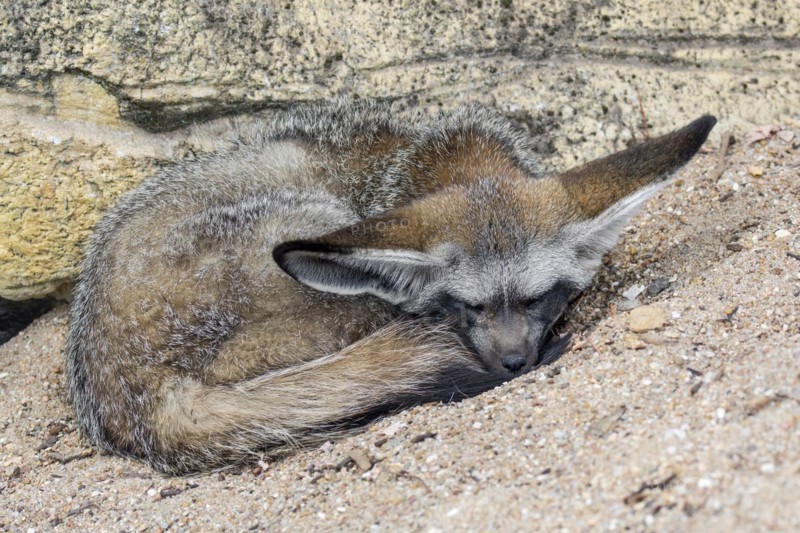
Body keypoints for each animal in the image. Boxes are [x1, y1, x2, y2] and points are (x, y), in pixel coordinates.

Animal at [66, 99, 716, 474]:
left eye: (537, 299)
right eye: (467, 307)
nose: (513, 364)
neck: (435, 158)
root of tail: (135, 401)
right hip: (316, 230)